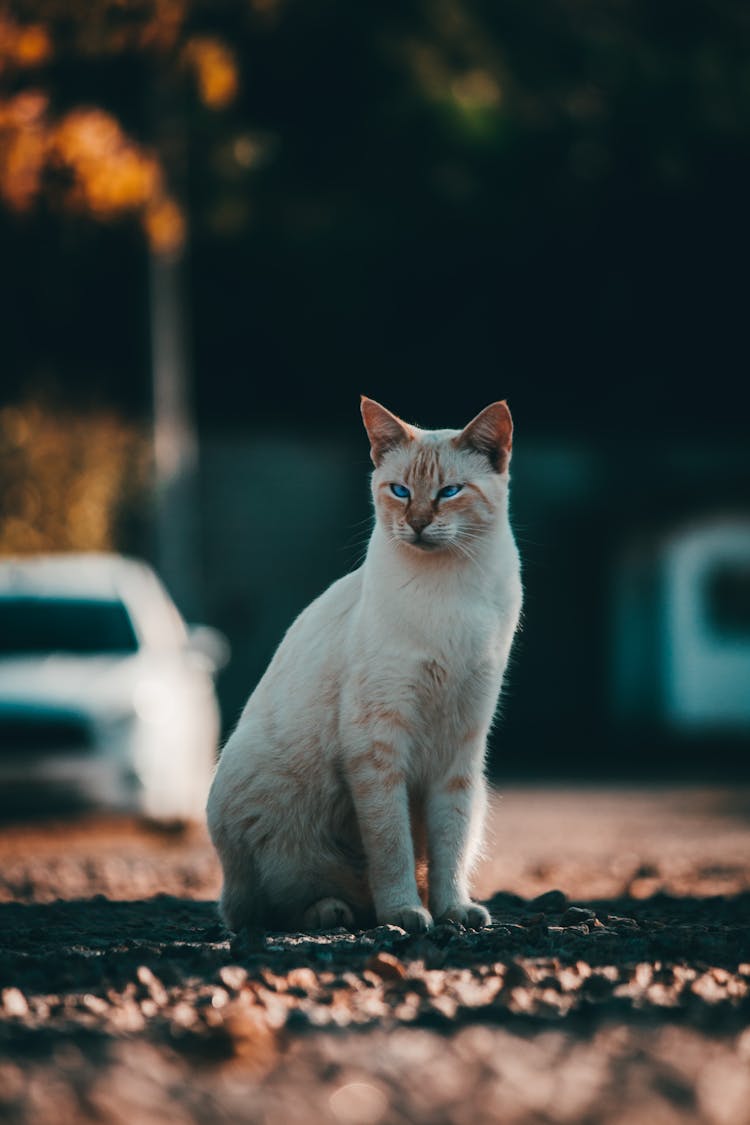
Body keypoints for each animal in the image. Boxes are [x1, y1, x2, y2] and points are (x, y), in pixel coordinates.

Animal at [205, 396, 521, 931]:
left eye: (449, 492)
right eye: (399, 491)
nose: (417, 523)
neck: (449, 592)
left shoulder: (459, 748)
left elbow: (449, 845)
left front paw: (452, 911)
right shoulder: (377, 744)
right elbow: (391, 846)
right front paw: (406, 913)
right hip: (277, 821)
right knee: (266, 906)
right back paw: (337, 912)